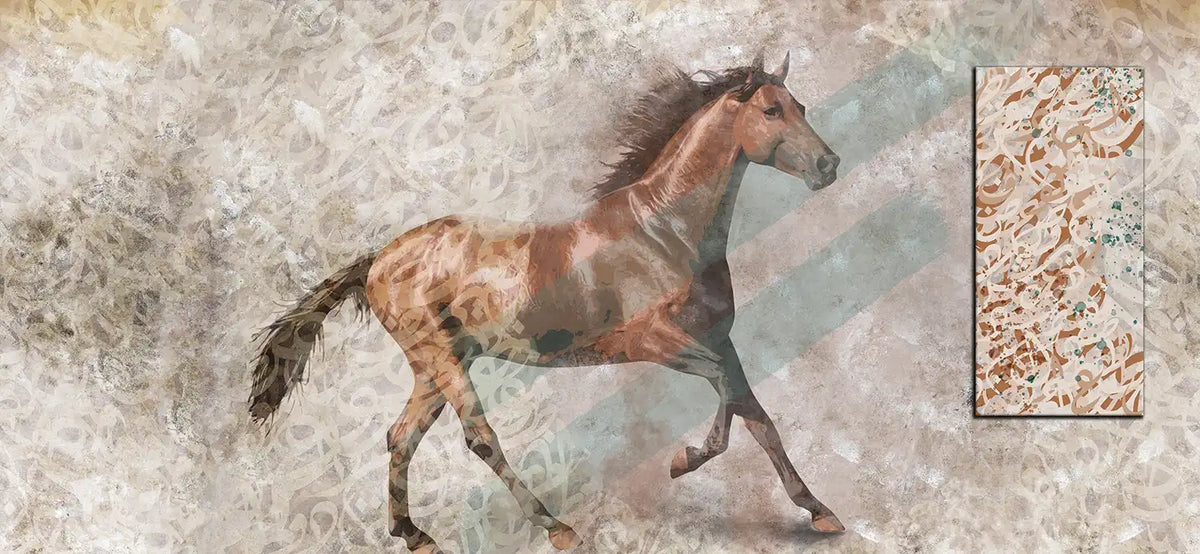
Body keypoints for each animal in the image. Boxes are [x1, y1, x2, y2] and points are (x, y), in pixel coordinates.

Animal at [249, 53, 843, 553]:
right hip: (443, 362)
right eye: (770, 110)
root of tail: (379, 260)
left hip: (436, 368)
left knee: (401, 438)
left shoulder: (720, 339)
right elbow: (725, 396)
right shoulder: (654, 342)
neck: (663, 232)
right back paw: (557, 527)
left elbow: (755, 413)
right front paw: (683, 461)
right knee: (479, 438)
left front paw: (819, 512)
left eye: (800, 106)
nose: (829, 165)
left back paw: (414, 535)